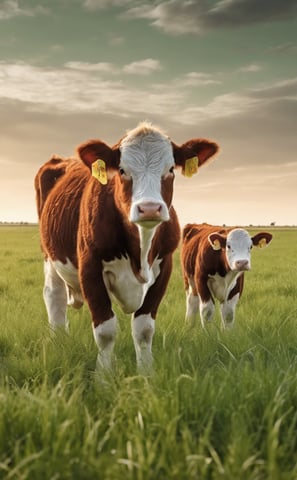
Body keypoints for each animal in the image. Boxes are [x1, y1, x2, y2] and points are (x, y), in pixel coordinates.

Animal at [34, 122, 219, 370]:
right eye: (122, 170)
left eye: (171, 169)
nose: (149, 208)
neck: (140, 249)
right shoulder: (90, 268)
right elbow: (105, 331)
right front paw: (104, 374)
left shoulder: (164, 268)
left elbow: (144, 329)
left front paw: (146, 371)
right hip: (50, 255)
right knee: (55, 297)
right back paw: (59, 343)